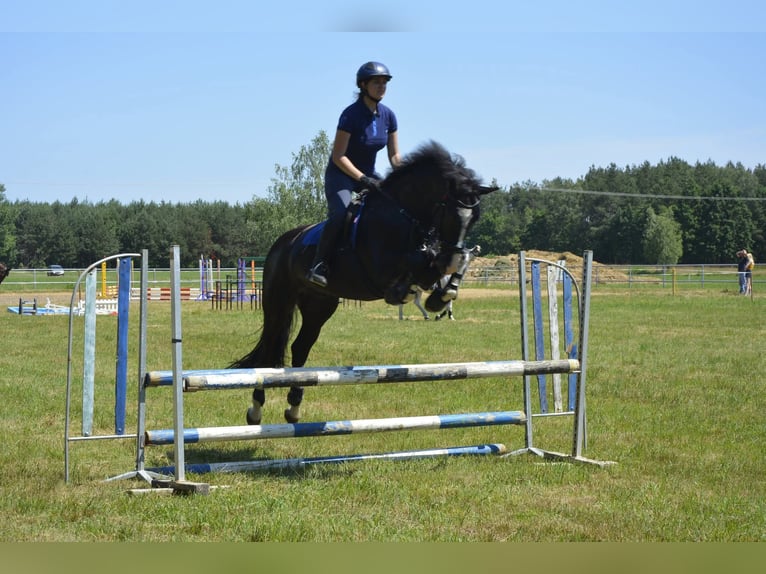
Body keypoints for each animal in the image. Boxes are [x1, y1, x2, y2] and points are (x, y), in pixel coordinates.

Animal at [230, 141, 497, 425]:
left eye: (474, 218)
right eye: (450, 213)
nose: (451, 252)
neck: (403, 216)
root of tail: (283, 242)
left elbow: (440, 264)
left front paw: (443, 293)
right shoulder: (382, 270)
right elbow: (417, 265)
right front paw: (414, 291)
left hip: (319, 305)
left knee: (300, 347)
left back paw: (293, 408)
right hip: (278, 301)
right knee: (270, 350)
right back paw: (256, 410)